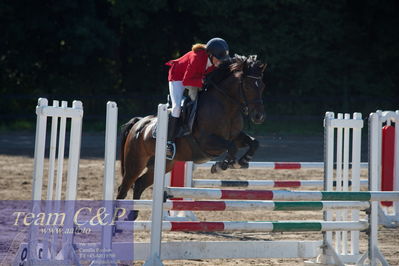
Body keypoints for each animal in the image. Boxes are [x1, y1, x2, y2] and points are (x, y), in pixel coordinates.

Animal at [119, 54, 268, 220]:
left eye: (262, 86)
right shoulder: (206, 141)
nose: (259, 116)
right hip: (135, 163)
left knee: (139, 184)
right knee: (123, 188)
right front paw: (221, 165)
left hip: (162, 165)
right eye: (247, 86)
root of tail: (139, 122)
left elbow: (254, 142)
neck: (226, 107)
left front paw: (242, 161)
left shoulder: (236, 136)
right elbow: (231, 147)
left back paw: (132, 215)